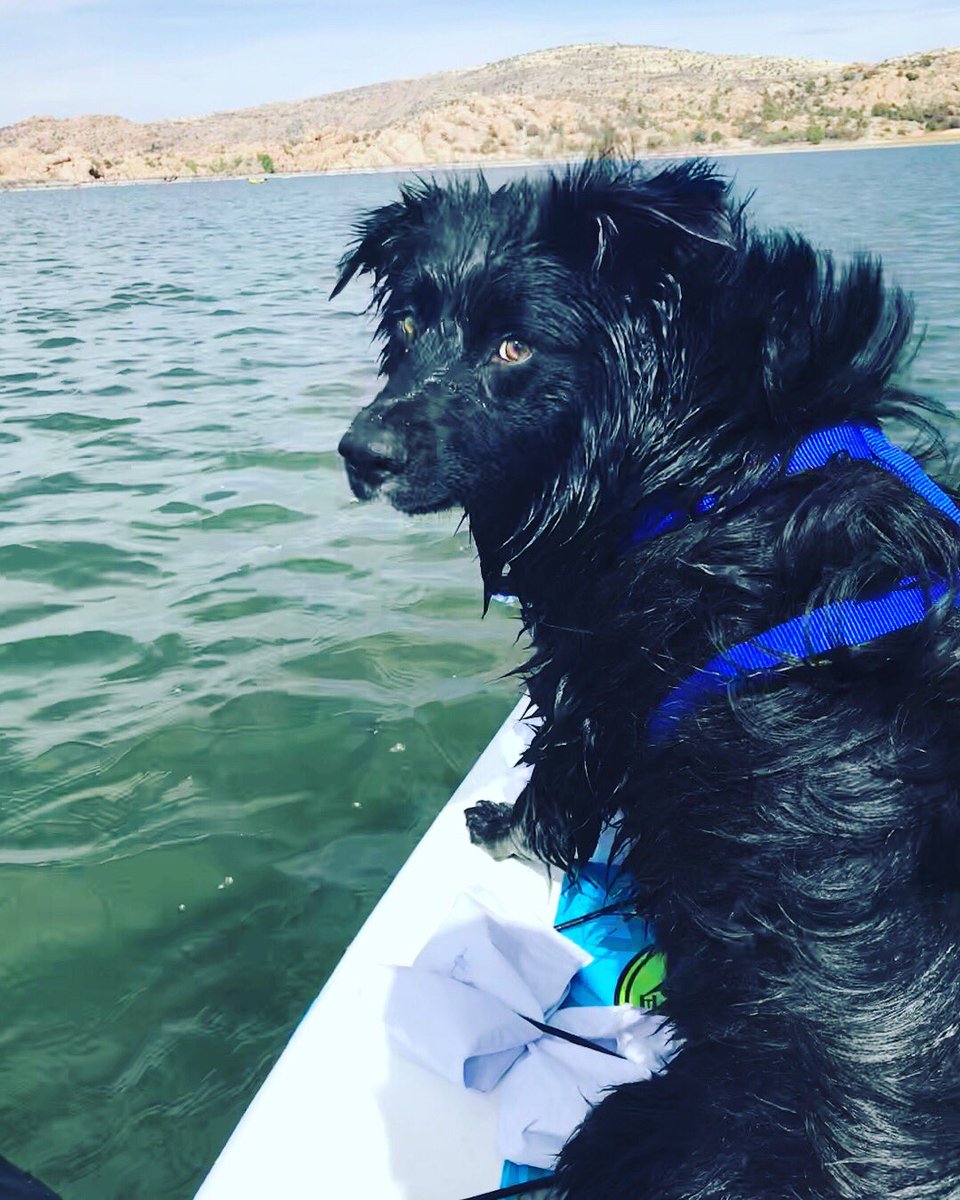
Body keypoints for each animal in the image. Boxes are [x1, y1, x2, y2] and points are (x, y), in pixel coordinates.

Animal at [333, 159, 960, 1200]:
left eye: (514, 345)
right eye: (411, 326)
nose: (359, 454)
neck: (702, 447)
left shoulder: (595, 678)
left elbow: (554, 780)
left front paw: (501, 829)